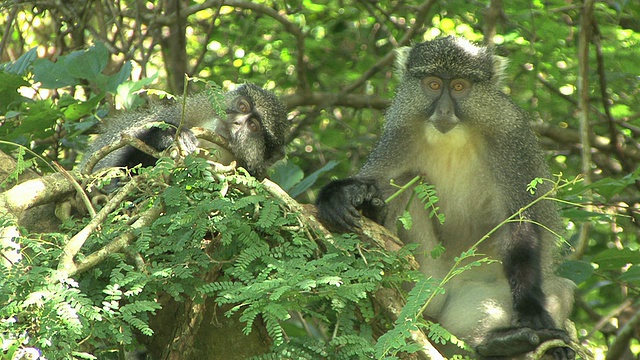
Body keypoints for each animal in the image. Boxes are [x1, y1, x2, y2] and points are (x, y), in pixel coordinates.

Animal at [318, 37, 576, 360]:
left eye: (459, 87)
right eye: (432, 84)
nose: (443, 111)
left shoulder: (511, 137)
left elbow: (520, 223)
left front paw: (531, 313)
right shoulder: (398, 134)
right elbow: (377, 178)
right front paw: (342, 197)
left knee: (561, 289)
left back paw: (502, 342)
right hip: (424, 286)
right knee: (408, 181)